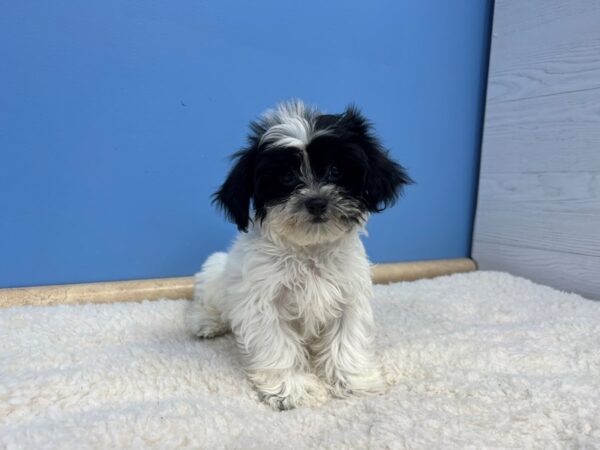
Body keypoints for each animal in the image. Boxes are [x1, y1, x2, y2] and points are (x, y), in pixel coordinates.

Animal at [186, 100, 412, 410]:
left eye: (335, 169)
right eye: (286, 177)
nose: (316, 202)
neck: (309, 251)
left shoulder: (349, 294)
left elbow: (346, 339)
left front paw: (354, 380)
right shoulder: (264, 303)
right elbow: (278, 345)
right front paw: (291, 389)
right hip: (215, 270)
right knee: (207, 301)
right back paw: (205, 323)